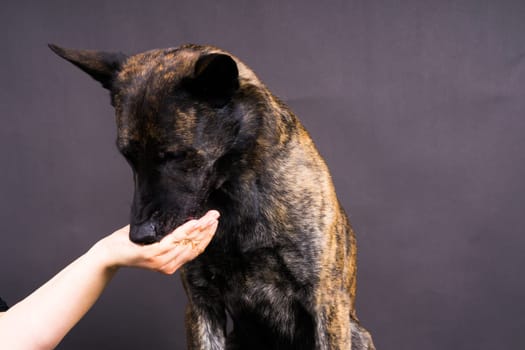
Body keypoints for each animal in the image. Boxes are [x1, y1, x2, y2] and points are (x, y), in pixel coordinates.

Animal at [51, 42, 374, 348]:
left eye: (176, 155)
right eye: (128, 156)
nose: (140, 236)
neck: (236, 191)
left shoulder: (325, 302)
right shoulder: (201, 303)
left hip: (356, 333)